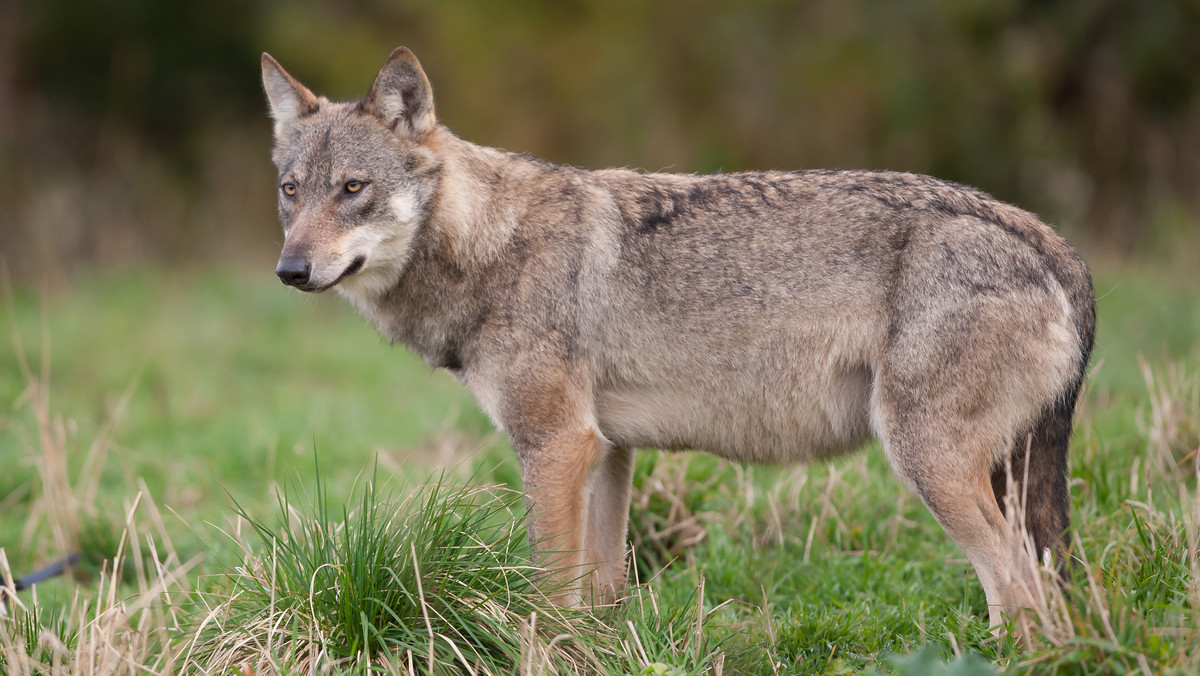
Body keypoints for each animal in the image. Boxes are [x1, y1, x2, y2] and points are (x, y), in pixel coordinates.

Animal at [262, 47, 1099, 633]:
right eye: (291, 191)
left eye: (353, 189)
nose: (290, 270)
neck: (489, 246)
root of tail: (1053, 241)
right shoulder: (604, 452)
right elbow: (595, 600)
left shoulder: (555, 445)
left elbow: (544, 594)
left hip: (929, 464)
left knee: (1025, 600)